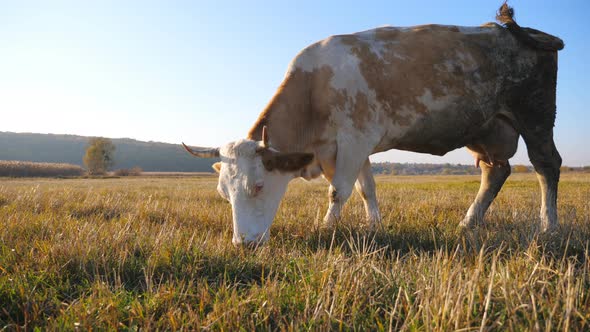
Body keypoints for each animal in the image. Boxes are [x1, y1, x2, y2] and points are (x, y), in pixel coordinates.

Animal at [183, 3, 568, 246]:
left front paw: (326, 228)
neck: (314, 87)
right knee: (496, 171)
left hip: (535, 115)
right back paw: (468, 222)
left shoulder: (354, 138)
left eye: (259, 186)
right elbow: (366, 188)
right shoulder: (348, 147)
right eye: (224, 193)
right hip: (486, 128)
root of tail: (521, 33)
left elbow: (339, 189)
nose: (243, 243)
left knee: (546, 165)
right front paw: (374, 226)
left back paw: (549, 226)